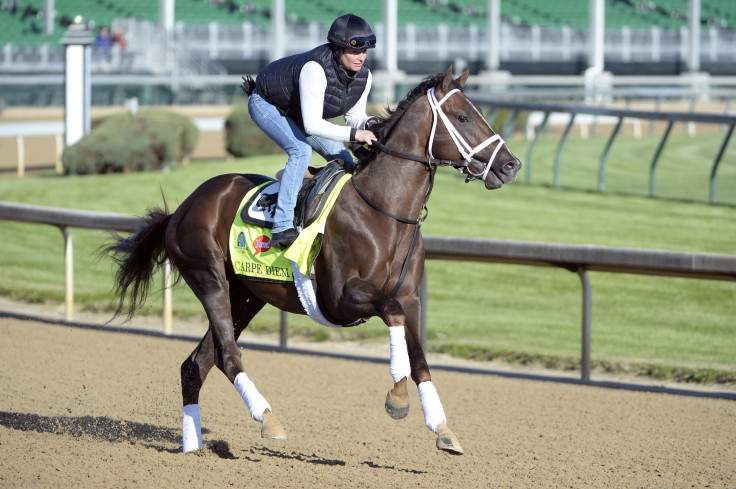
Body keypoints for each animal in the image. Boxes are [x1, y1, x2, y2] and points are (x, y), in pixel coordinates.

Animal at [106, 66, 520, 456]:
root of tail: (181, 209)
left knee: (196, 363)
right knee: (227, 357)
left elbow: (420, 358)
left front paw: (442, 427)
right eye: (462, 117)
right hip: (210, 281)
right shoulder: (342, 298)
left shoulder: (412, 297)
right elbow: (392, 315)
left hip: (246, 295)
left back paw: (193, 446)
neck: (382, 210)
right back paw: (268, 419)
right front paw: (398, 397)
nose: (511, 165)